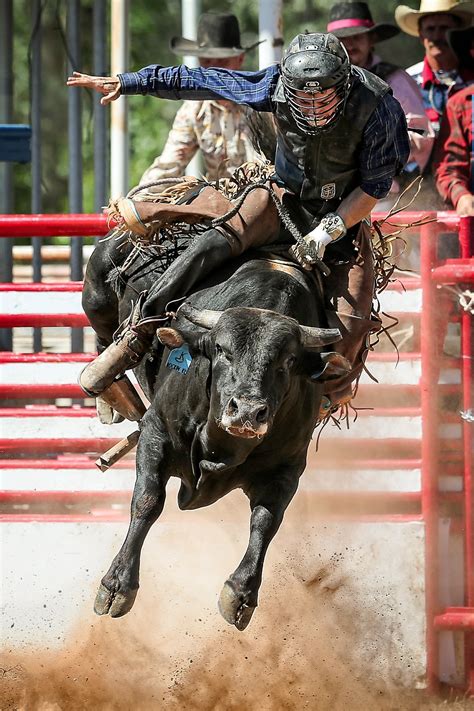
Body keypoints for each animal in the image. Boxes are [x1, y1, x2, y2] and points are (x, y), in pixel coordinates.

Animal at [82, 234, 348, 628]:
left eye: (287, 361)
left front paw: (240, 594)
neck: (223, 447)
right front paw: (117, 586)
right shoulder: (156, 432)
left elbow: (266, 521)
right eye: (221, 350)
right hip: (98, 288)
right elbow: (147, 501)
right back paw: (109, 393)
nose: (248, 411)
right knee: (105, 334)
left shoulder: (287, 468)